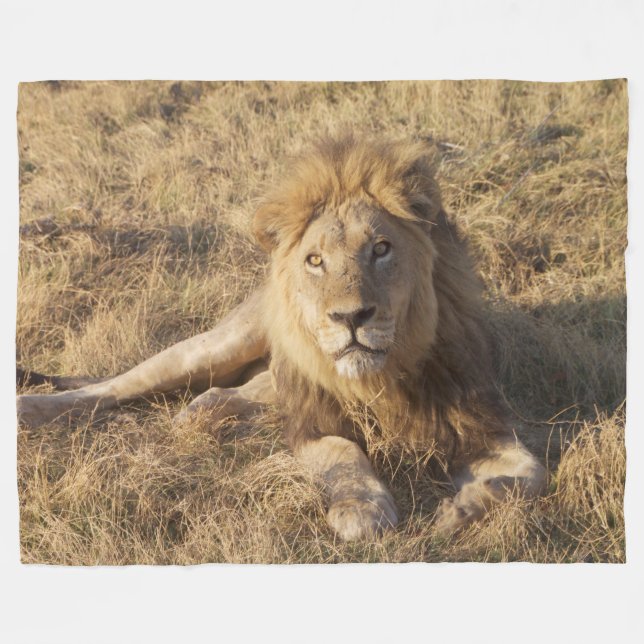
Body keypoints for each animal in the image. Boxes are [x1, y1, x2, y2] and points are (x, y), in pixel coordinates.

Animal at [17, 135, 546, 540]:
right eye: (315, 260)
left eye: (381, 249)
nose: (351, 317)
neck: (381, 379)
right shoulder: (312, 424)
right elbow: (344, 454)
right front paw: (362, 509)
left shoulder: (480, 424)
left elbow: (532, 477)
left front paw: (462, 509)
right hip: (215, 347)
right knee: (112, 387)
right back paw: (31, 408)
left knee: (224, 392)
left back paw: (199, 418)